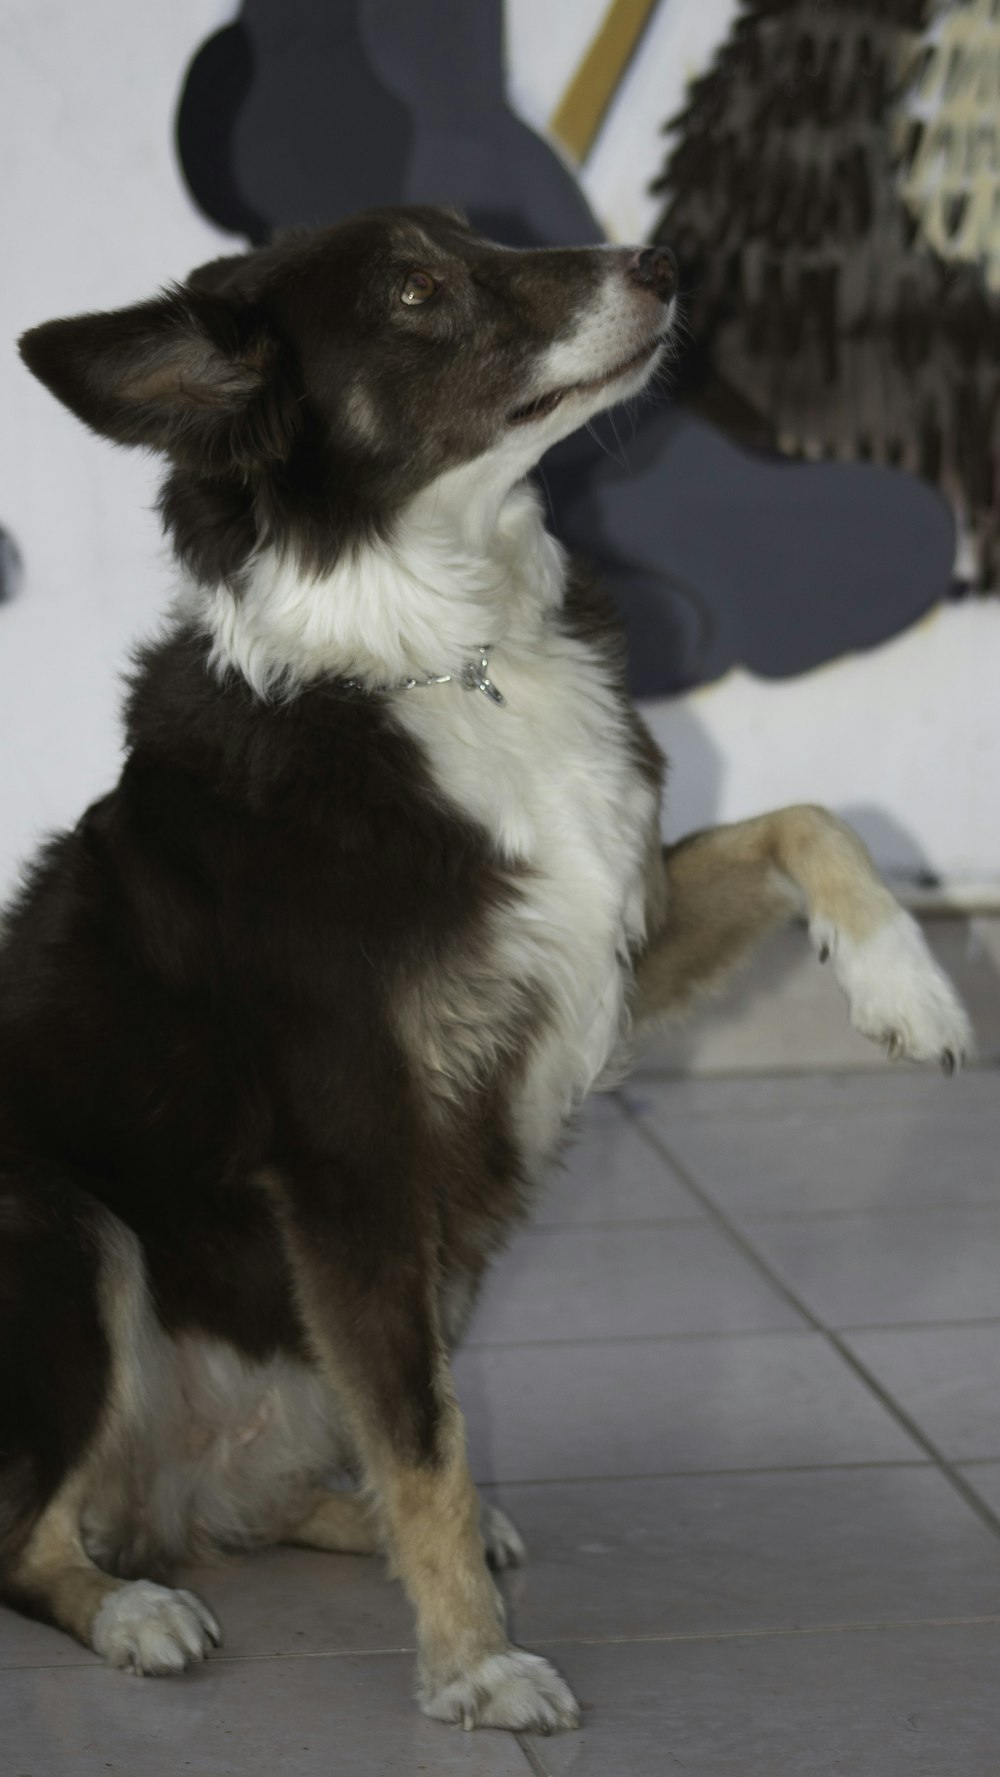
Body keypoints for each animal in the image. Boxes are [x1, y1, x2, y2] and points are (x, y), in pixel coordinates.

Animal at [0, 204, 973, 1720]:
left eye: (482, 234)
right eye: (417, 288)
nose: (663, 266)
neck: (447, 653)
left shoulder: (600, 935)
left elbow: (808, 816)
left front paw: (904, 986)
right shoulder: (350, 1154)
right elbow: (419, 1437)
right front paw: (473, 1668)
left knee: (256, 1492)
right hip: (59, 1225)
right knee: (28, 1533)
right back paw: (132, 1609)